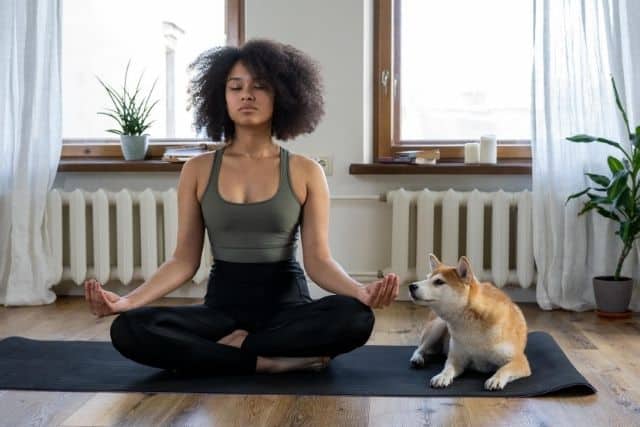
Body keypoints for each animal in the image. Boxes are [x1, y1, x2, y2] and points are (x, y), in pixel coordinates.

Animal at [410, 254, 528, 392]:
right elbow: (448, 368)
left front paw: (496, 379)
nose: (411, 286)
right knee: (420, 347)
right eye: (426, 278)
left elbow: (504, 369)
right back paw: (417, 358)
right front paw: (442, 376)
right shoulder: (457, 358)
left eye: (439, 282)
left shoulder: (519, 361)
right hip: (437, 326)